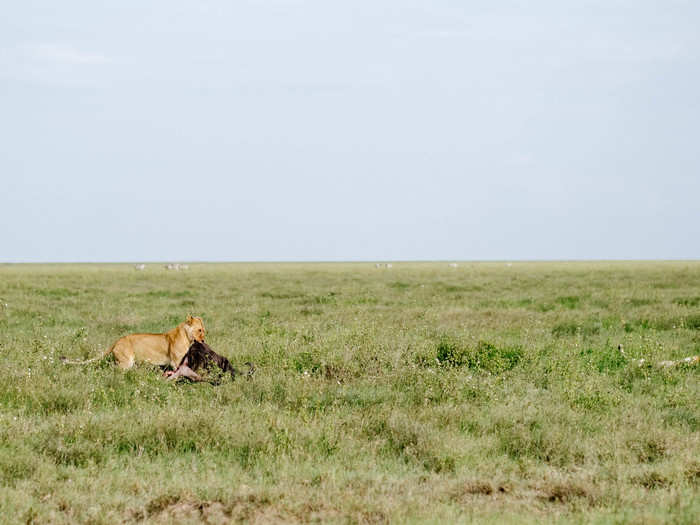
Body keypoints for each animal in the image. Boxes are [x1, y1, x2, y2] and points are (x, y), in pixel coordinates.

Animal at [60, 316, 205, 368]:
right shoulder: (176, 362)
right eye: (199, 330)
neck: (187, 337)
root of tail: (117, 341)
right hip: (126, 362)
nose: (203, 340)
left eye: (204, 330)